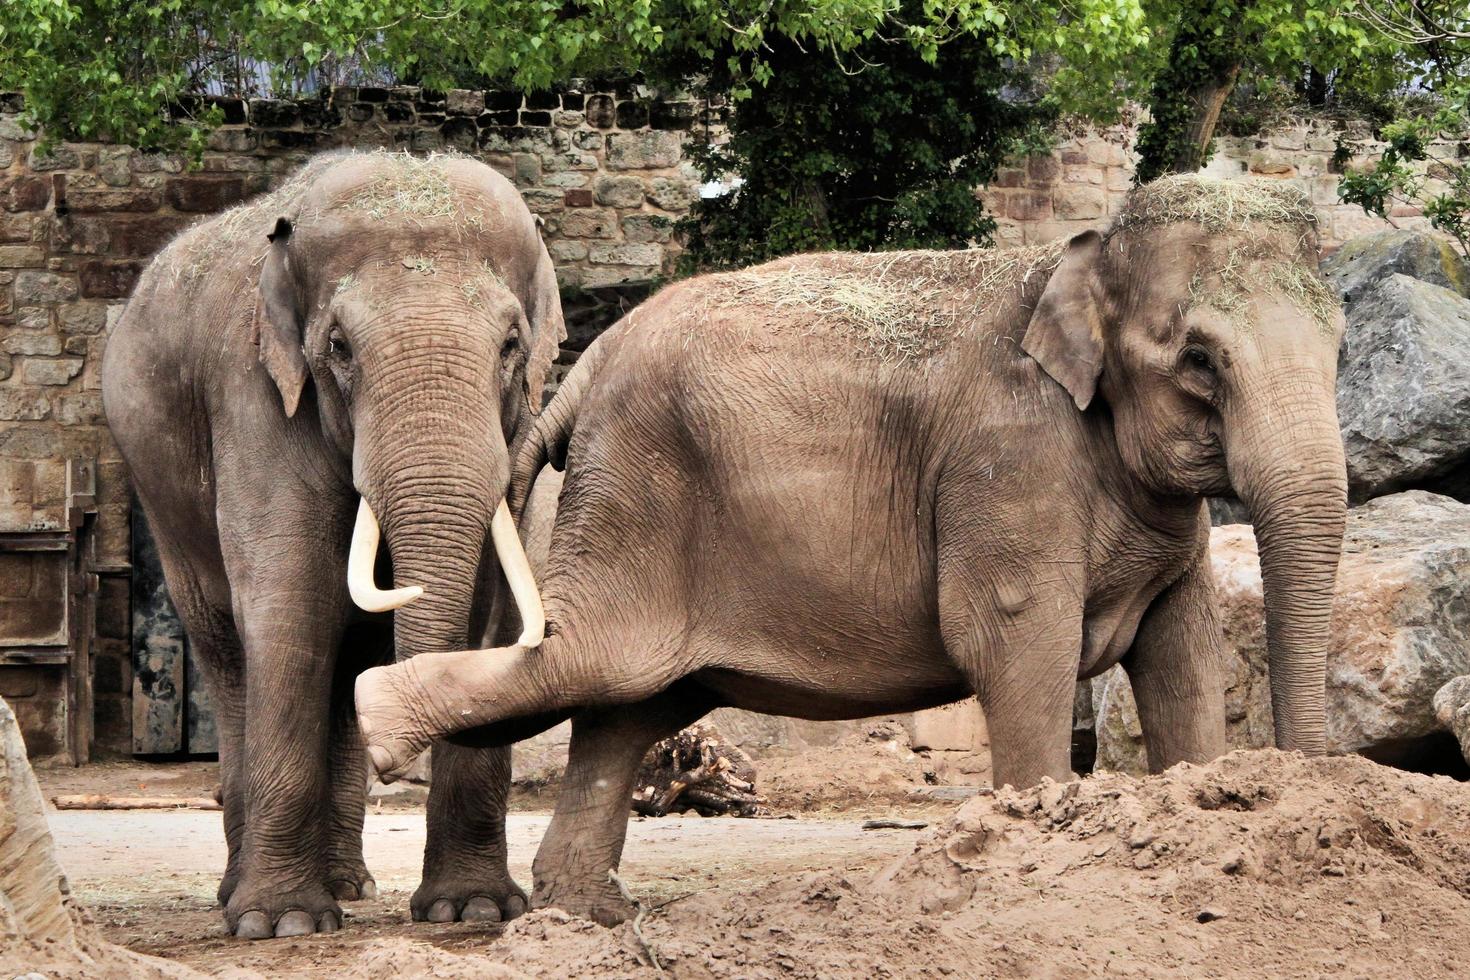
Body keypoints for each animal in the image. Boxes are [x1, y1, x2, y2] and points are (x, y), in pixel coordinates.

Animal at [102, 149, 561, 940]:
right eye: (339, 349)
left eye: (510, 347)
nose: (395, 766)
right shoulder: (256, 396)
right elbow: (291, 608)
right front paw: (280, 923)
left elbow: (497, 611)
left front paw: (470, 910)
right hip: (158, 491)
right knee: (227, 652)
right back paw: (241, 895)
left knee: (353, 657)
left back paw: (350, 884)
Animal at [352, 178, 1346, 928]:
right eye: (1200, 360)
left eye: (1342, 345)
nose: (1310, 794)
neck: (1074, 259)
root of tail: (586, 366)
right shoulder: (1009, 459)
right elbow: (1018, 643)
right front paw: (1032, 849)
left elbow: (1182, 659)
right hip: (634, 495)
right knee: (596, 661)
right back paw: (377, 720)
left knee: (625, 700)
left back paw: (583, 914)